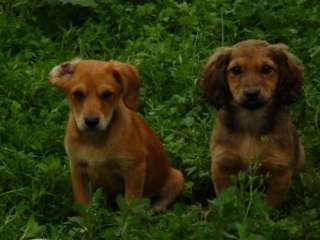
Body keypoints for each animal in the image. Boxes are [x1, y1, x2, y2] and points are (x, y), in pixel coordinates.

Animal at [47, 59, 182, 211]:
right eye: (78, 94)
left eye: (107, 94)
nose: (91, 122)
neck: (94, 140)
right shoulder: (77, 169)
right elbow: (83, 206)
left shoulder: (134, 169)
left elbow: (129, 208)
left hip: (177, 177)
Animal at [198, 39, 304, 208]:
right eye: (236, 70)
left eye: (266, 69)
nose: (251, 94)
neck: (250, 124)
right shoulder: (222, 165)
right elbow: (227, 198)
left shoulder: (279, 170)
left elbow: (270, 204)